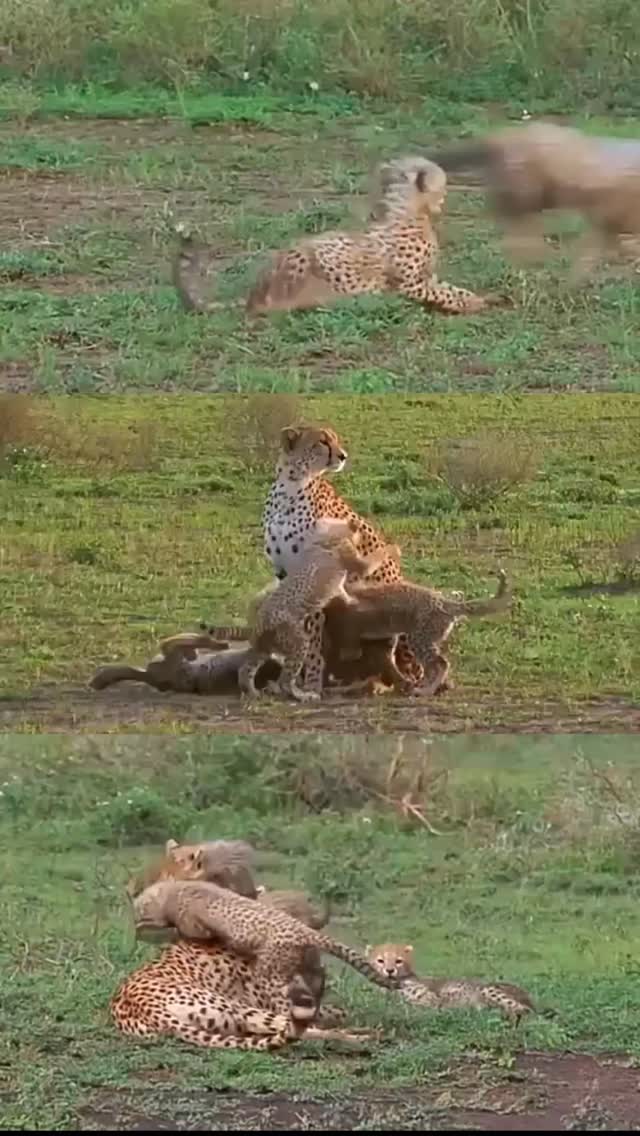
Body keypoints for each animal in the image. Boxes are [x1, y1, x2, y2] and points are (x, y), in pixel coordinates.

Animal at [173, 156, 504, 318]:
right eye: (442, 184)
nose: (445, 200)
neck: (411, 212)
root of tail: (254, 291)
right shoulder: (410, 284)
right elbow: (445, 294)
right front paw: (473, 305)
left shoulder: (426, 278)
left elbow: (453, 289)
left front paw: (485, 298)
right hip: (302, 254)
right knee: (271, 306)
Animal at [366, 943, 540, 1025]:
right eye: (380, 960)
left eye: (398, 961)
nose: (389, 970)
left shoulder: (432, 997)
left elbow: (432, 1002)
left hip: (488, 990)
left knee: (524, 1012)